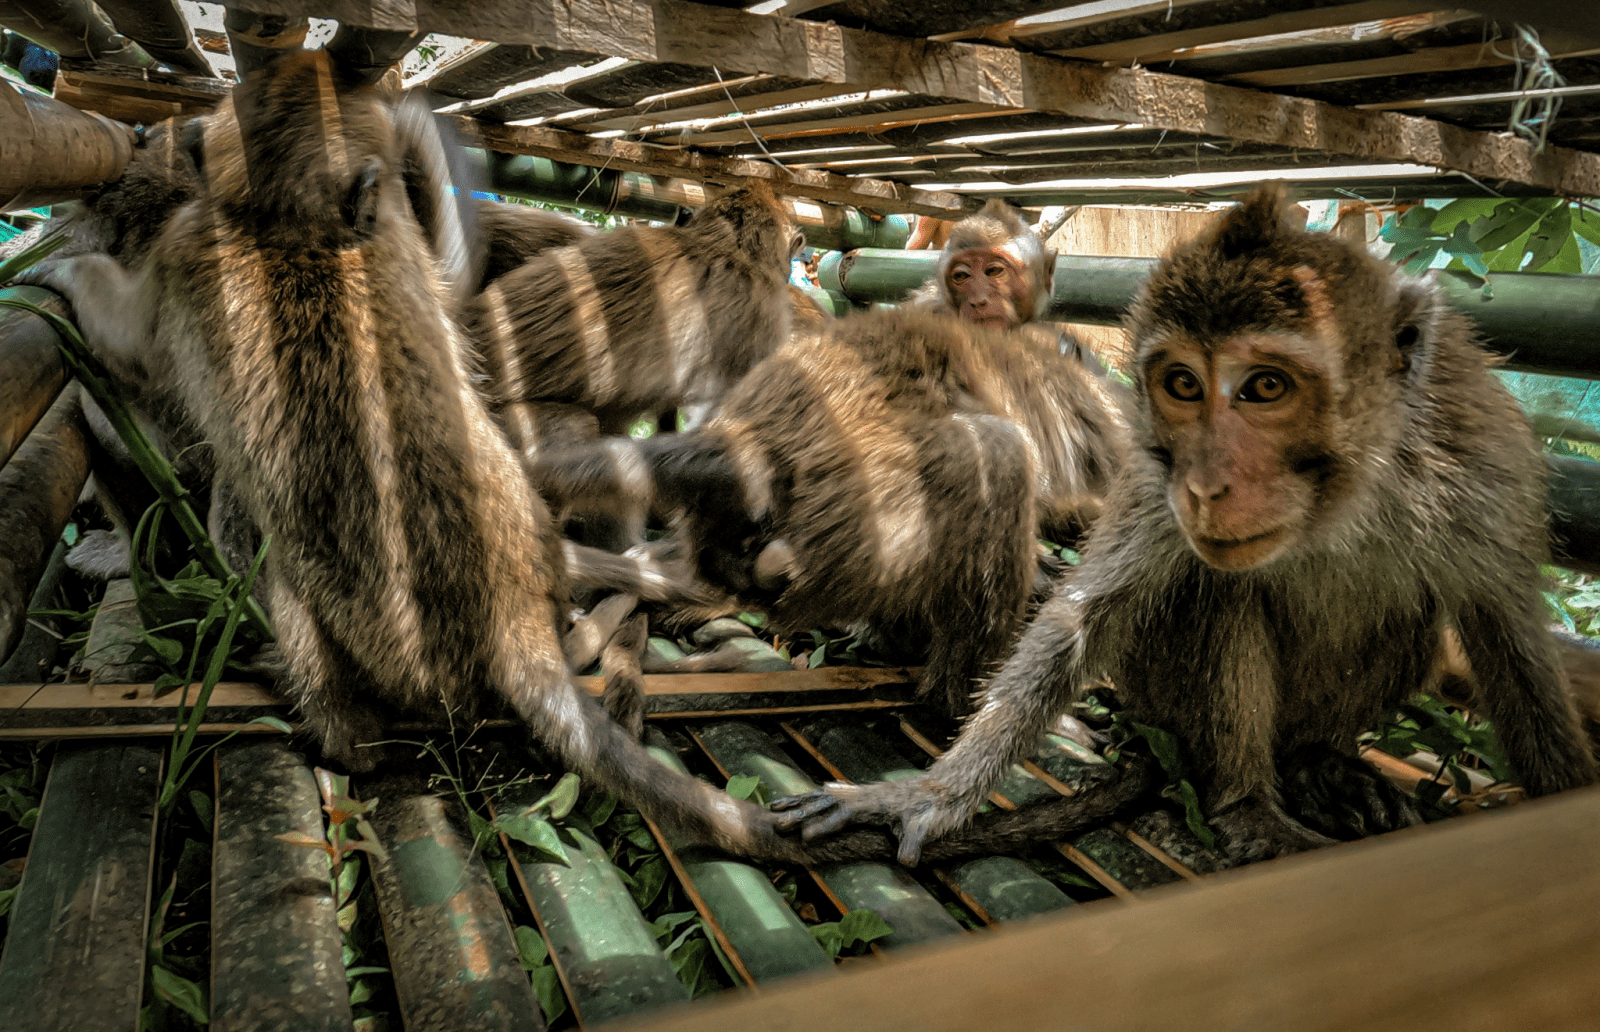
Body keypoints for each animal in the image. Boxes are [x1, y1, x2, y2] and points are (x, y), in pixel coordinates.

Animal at [18, 48, 777, 851]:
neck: (303, 224)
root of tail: (514, 615)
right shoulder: (387, 236)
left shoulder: (186, 248)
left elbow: (127, 338)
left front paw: (55, 273)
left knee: (269, 554)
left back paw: (330, 721)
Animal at [768, 188, 1593, 864]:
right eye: (1183, 385)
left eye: (1267, 387)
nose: (1207, 478)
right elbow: (1089, 611)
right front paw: (927, 795)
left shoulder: (1479, 462)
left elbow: (1509, 640)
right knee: (1216, 593)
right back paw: (1245, 806)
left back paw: (1317, 762)